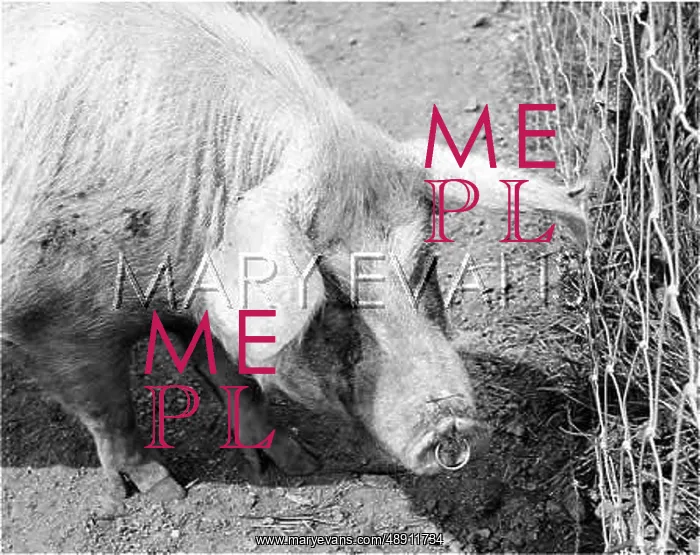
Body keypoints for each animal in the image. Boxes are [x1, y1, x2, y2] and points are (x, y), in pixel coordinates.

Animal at [1, 3, 586, 504]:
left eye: (427, 263)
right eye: (333, 292)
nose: (454, 425)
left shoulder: (204, 302)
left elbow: (237, 380)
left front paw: (299, 464)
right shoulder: (55, 320)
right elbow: (110, 411)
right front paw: (166, 492)